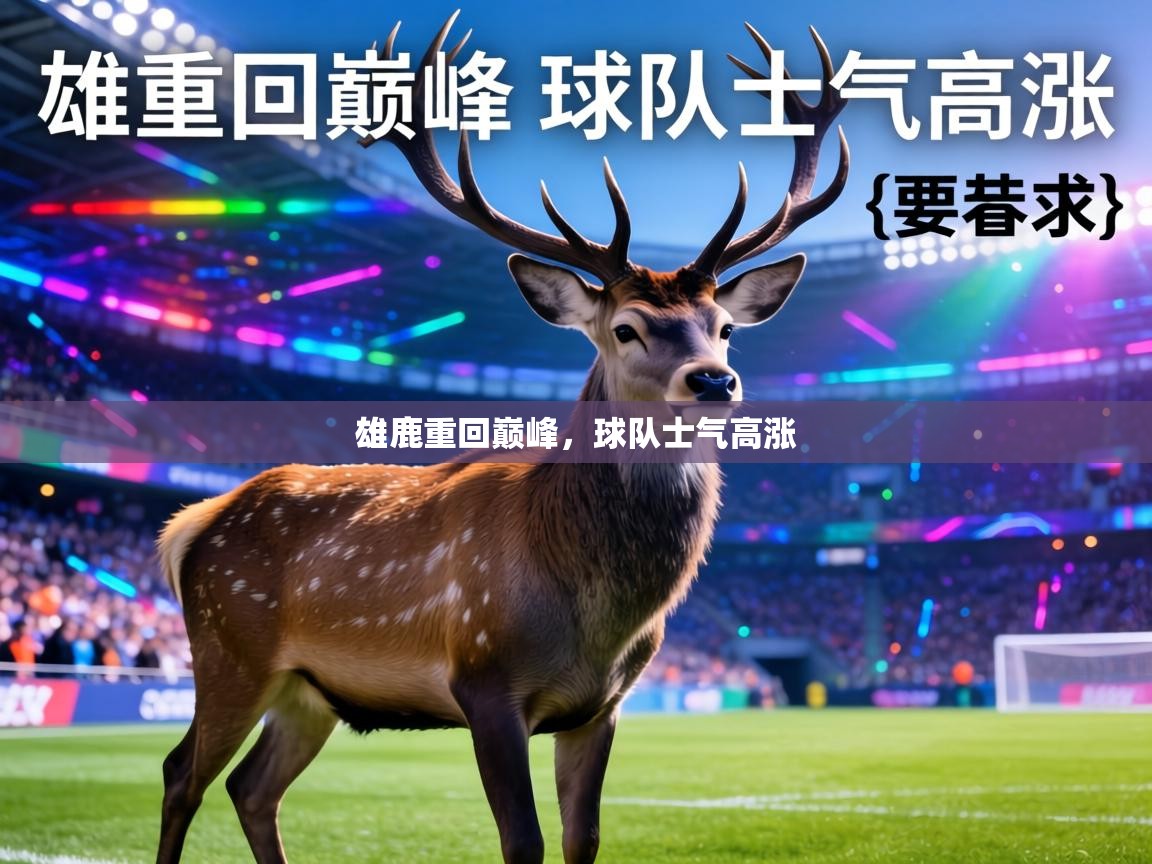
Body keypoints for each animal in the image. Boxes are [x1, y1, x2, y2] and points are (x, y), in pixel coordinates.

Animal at [155, 13, 848, 864]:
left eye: (724, 328)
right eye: (626, 328)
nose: (714, 381)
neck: (591, 616)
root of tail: (192, 524)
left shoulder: (601, 705)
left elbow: (584, 838)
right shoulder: (483, 679)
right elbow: (525, 840)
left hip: (308, 691)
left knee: (252, 787)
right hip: (228, 647)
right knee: (182, 772)